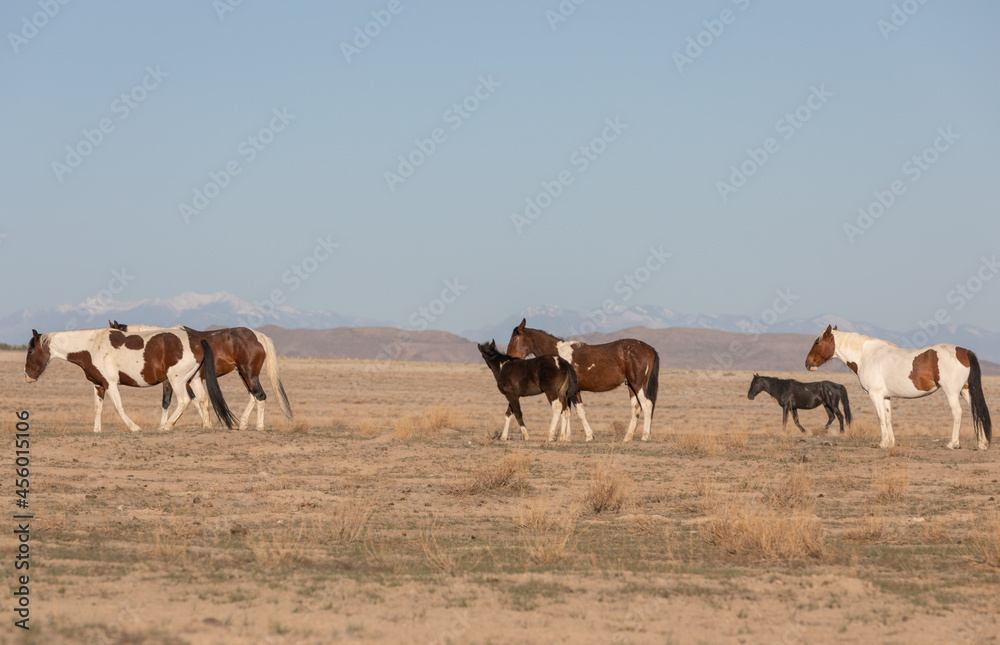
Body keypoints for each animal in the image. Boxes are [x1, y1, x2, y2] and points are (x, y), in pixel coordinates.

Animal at [24, 327, 236, 433]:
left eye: (31, 351)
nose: (27, 377)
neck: (91, 346)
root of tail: (197, 340)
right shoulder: (98, 385)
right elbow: (98, 408)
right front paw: (96, 430)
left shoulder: (110, 384)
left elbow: (119, 407)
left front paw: (134, 428)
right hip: (193, 379)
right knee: (203, 400)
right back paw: (206, 426)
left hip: (177, 380)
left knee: (184, 401)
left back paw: (166, 427)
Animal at [109, 321, 292, 430]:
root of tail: (259, 336)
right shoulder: (190, 381)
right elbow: (198, 401)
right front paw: (206, 422)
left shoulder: (172, 381)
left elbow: (167, 402)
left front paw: (164, 425)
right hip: (243, 374)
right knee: (253, 397)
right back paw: (243, 423)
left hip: (249, 373)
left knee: (260, 396)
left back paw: (259, 426)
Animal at [506, 319, 659, 442]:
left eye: (514, 339)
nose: (509, 358)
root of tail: (650, 349)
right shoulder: (566, 392)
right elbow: (567, 411)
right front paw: (566, 437)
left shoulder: (574, 391)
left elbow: (579, 412)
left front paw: (588, 436)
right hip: (631, 386)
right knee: (636, 408)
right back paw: (628, 437)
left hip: (638, 385)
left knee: (647, 405)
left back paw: (645, 436)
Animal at [805, 324, 991, 450]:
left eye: (817, 342)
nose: (807, 364)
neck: (867, 356)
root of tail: (964, 351)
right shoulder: (886, 396)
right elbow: (888, 418)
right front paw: (891, 443)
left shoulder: (875, 395)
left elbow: (880, 417)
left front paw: (882, 443)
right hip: (966, 391)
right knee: (977, 411)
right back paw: (982, 443)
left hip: (952, 392)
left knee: (957, 413)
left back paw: (953, 443)